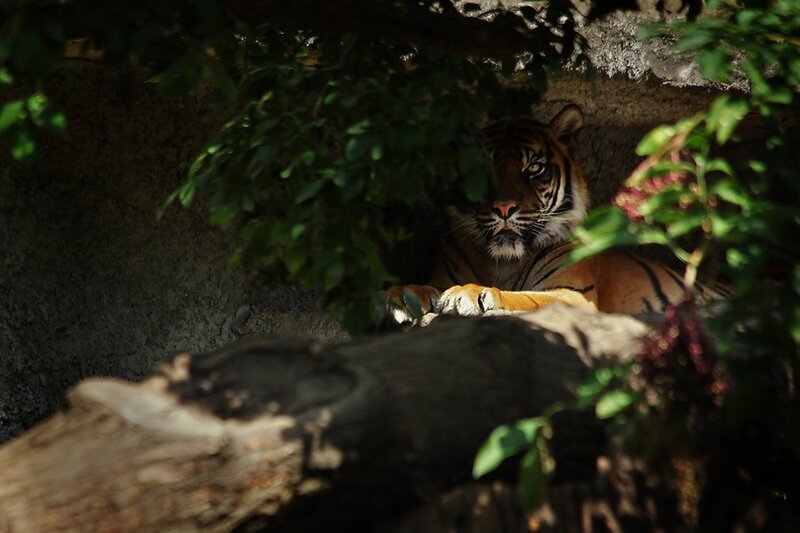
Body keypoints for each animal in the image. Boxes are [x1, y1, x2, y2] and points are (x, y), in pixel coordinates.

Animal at [386, 103, 722, 324]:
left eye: (534, 168)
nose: (504, 208)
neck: (502, 261)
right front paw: (398, 296)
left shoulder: (569, 293)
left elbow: (522, 296)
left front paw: (469, 293)